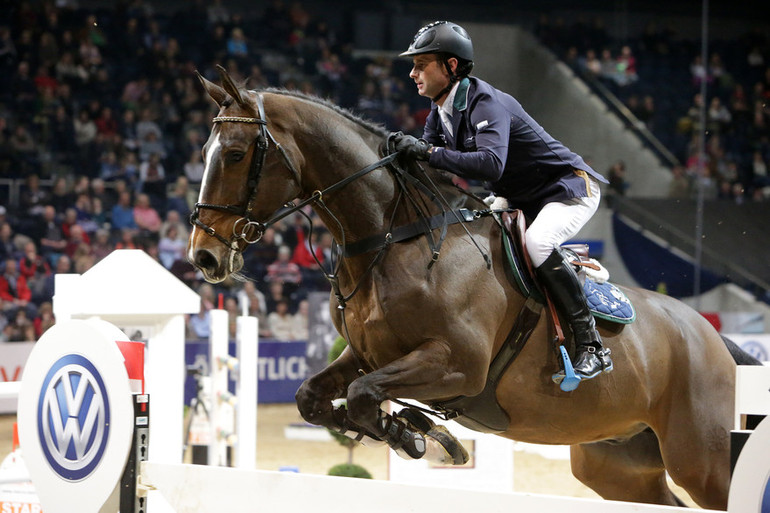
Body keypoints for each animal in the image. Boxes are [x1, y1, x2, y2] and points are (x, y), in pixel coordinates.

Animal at [189, 65, 752, 508]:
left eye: (235, 154)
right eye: (206, 150)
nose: (204, 256)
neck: (396, 237)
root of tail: (713, 339)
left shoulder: (457, 364)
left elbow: (364, 396)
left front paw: (420, 436)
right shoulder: (366, 355)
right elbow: (317, 398)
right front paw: (417, 433)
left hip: (701, 456)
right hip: (617, 463)